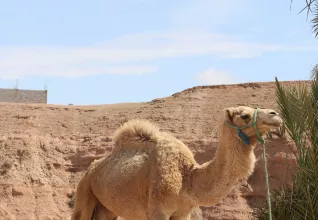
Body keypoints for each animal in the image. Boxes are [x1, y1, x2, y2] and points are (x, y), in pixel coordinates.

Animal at [71, 105, 282, 219]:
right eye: (245, 115)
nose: (275, 115)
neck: (188, 178)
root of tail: (92, 169)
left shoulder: (182, 213)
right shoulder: (158, 211)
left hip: (107, 208)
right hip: (84, 191)